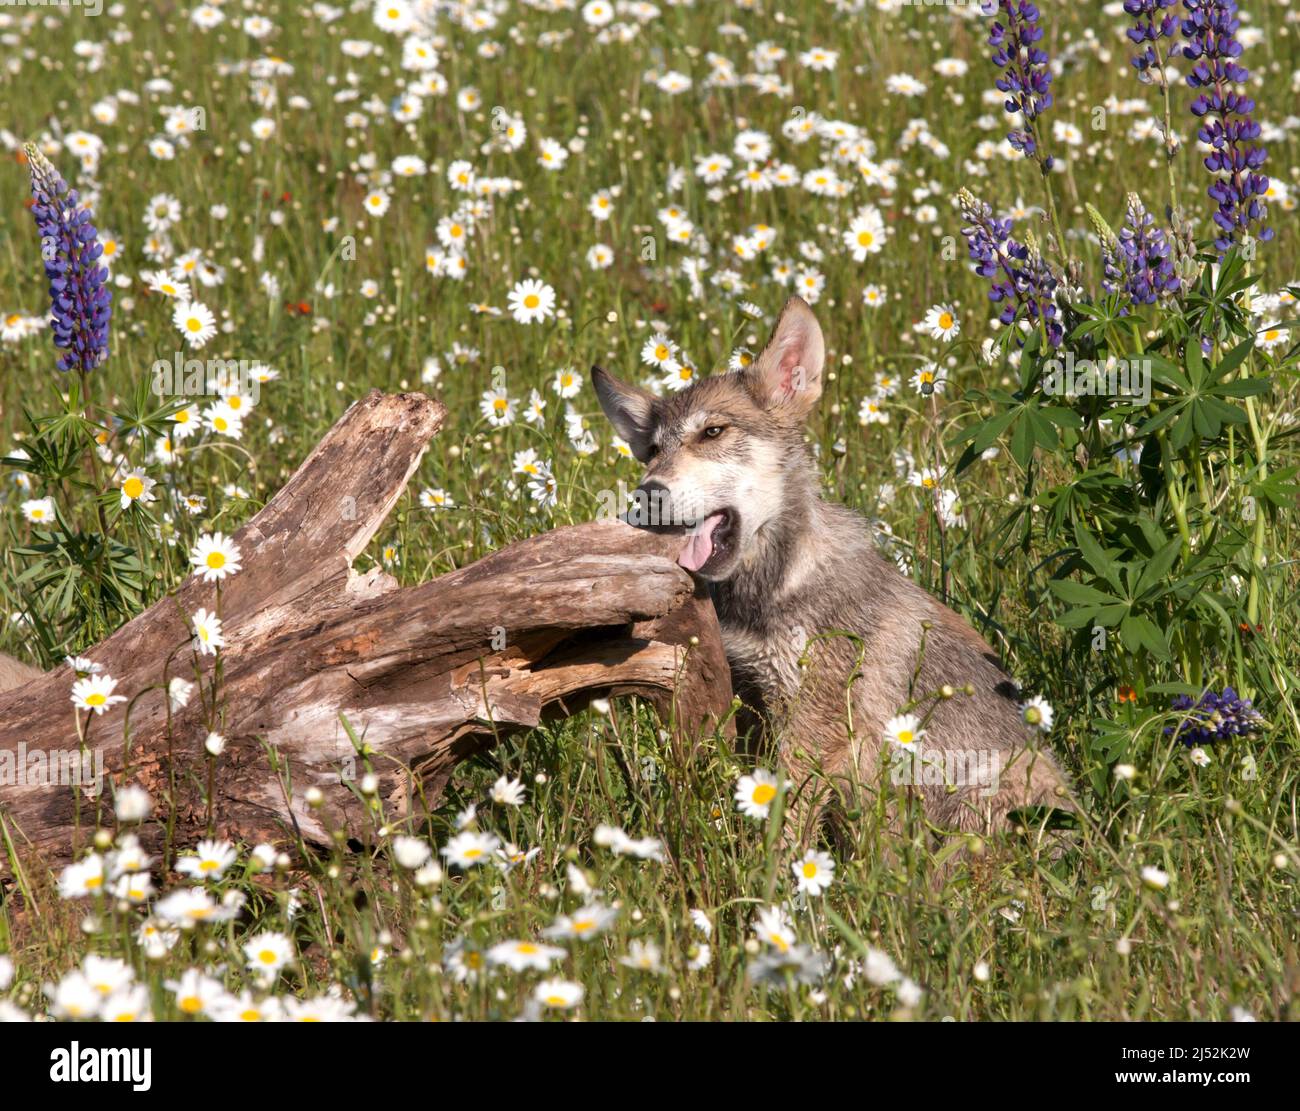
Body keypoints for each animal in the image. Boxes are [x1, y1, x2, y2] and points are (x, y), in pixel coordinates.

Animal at [592, 296, 1072, 848]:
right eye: (652, 451)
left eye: (712, 432)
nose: (645, 493)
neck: (770, 593)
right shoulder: (753, 703)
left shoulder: (809, 730)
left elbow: (781, 832)